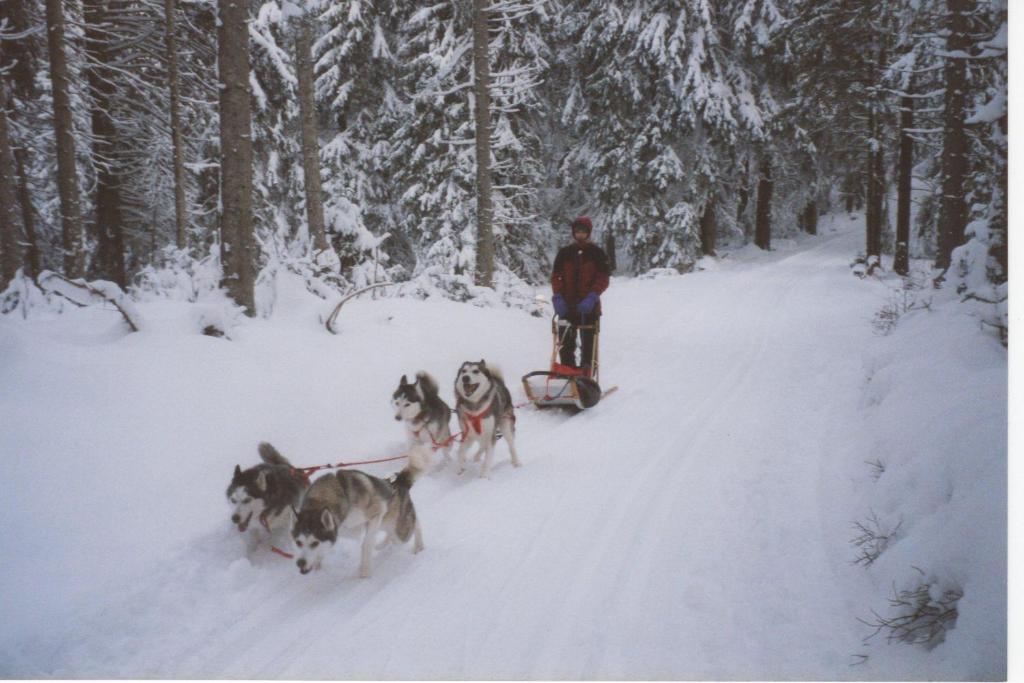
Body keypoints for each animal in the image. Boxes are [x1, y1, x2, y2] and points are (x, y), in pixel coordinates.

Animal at [290, 464, 421, 577]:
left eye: (314, 543)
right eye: (298, 542)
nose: (300, 563)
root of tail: (399, 481)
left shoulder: (376, 513)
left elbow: (366, 544)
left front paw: (365, 570)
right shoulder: (345, 529)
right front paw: (318, 564)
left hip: (400, 532)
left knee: (414, 525)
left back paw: (419, 546)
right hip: (386, 522)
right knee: (391, 534)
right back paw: (382, 544)